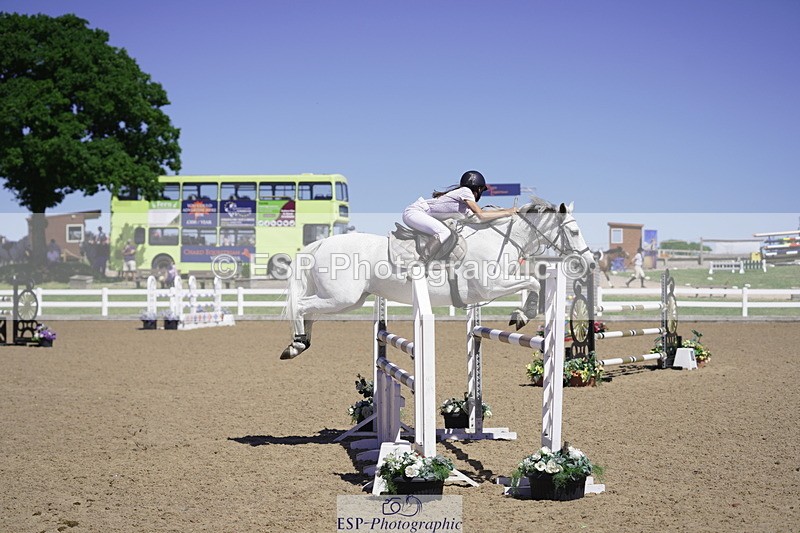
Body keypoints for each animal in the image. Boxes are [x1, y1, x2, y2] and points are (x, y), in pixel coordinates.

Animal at [279, 198, 596, 359]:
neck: (499, 238)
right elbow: (531, 283)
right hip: (341, 298)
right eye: (575, 231)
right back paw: (296, 343)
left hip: (347, 300)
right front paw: (521, 315)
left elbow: (532, 281)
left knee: (309, 310)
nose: (590, 262)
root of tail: (320, 243)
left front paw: (522, 313)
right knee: (302, 307)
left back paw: (299, 344)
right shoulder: (489, 287)